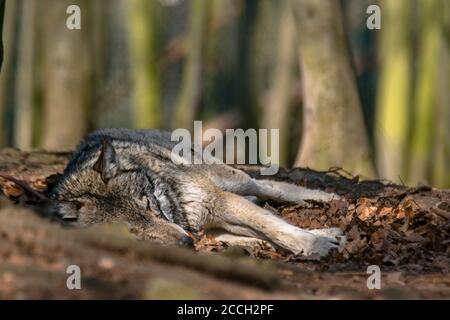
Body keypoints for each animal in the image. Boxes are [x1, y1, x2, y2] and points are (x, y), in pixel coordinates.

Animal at [49, 129, 342, 256]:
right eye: (131, 230)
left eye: (148, 205)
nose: (185, 243)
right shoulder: (208, 225)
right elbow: (268, 232)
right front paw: (320, 240)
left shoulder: (219, 202)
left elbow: (275, 227)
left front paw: (317, 244)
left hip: (229, 179)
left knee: (268, 186)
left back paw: (325, 199)